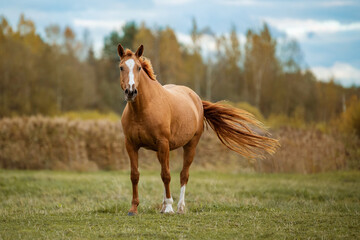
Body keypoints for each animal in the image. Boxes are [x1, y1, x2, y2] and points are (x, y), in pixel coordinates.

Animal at [118, 43, 278, 216]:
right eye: (121, 67)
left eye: (139, 68)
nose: (131, 91)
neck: (143, 108)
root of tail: (197, 99)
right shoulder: (131, 145)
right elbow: (135, 175)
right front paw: (133, 208)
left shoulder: (163, 143)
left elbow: (166, 175)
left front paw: (169, 208)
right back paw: (163, 206)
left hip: (190, 145)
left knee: (183, 175)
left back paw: (180, 207)